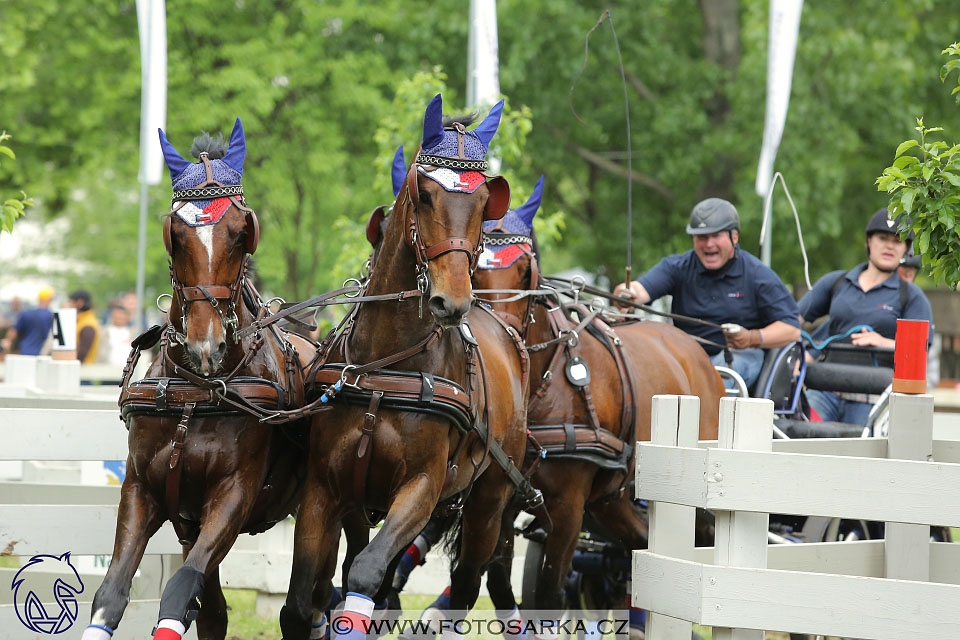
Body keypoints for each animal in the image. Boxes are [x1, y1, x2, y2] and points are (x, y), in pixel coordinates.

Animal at [81, 121, 316, 640]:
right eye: (176, 233)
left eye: (241, 231)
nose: (205, 348)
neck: (195, 396)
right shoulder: (145, 492)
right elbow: (113, 593)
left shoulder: (233, 495)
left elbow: (180, 588)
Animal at [278, 95, 540, 640]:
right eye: (424, 195)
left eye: (483, 203)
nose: (452, 301)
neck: (387, 365)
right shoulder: (326, 488)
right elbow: (300, 601)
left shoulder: (420, 488)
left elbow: (366, 572)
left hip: (489, 500)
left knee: (467, 583)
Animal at [468, 184, 724, 620]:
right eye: (475, 265)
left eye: (526, 270)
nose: (501, 336)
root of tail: (694, 349)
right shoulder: (502, 498)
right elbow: (500, 586)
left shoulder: (568, 507)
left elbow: (549, 596)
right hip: (613, 497)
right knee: (641, 546)